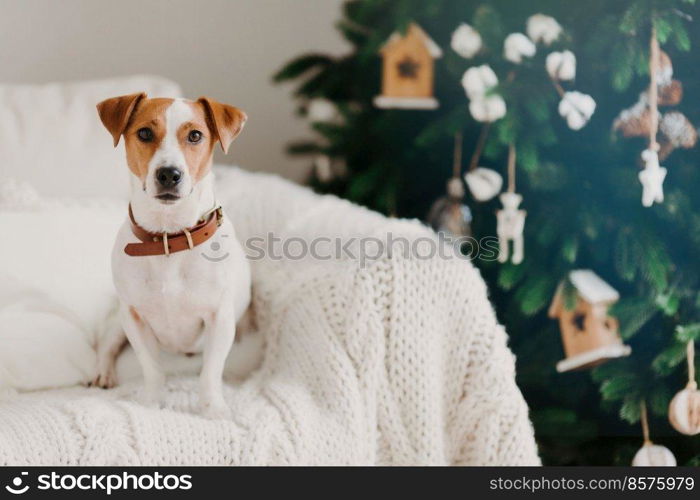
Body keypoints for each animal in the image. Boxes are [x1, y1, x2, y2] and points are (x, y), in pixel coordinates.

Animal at [93, 93, 252, 418]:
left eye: (195, 136)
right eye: (144, 133)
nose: (169, 174)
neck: (169, 238)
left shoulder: (220, 318)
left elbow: (210, 371)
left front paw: (213, 409)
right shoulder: (134, 318)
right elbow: (151, 368)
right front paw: (152, 402)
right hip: (117, 318)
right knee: (106, 344)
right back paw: (103, 371)